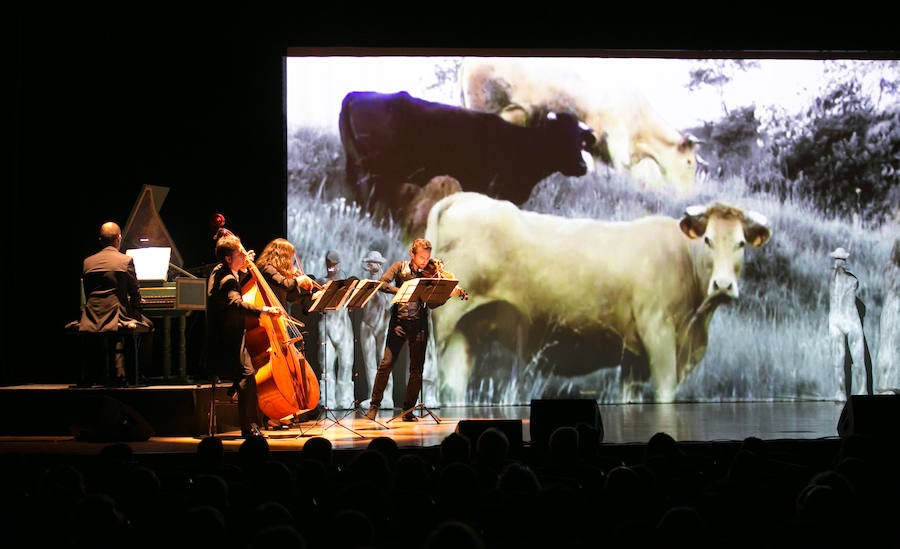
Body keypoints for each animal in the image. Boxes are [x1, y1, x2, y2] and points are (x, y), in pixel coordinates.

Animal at [426, 193, 768, 402]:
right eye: (708, 239)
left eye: (741, 243)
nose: (723, 286)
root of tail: (463, 198)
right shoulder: (659, 335)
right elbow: (665, 393)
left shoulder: (633, 359)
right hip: (445, 331)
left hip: (464, 333)